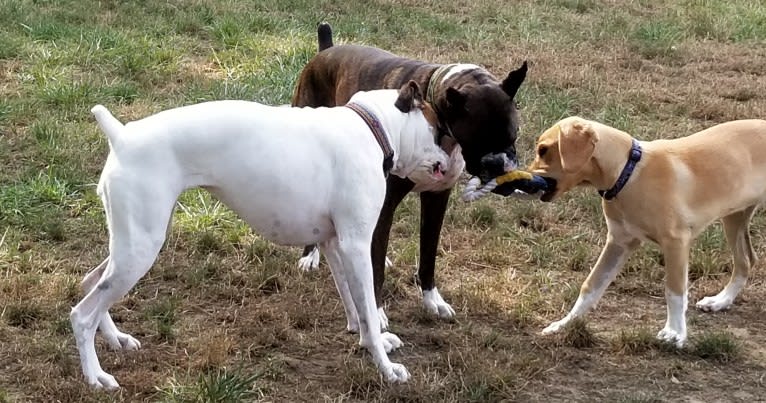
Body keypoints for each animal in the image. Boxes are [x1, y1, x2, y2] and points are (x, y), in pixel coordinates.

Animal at [71, 81, 450, 388]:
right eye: (438, 131)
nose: (450, 159)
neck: (371, 126)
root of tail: (122, 136)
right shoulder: (356, 247)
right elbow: (370, 308)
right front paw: (387, 368)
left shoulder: (334, 245)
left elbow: (355, 304)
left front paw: (369, 340)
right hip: (140, 250)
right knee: (82, 315)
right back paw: (96, 377)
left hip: (133, 244)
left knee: (92, 281)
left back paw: (117, 339)